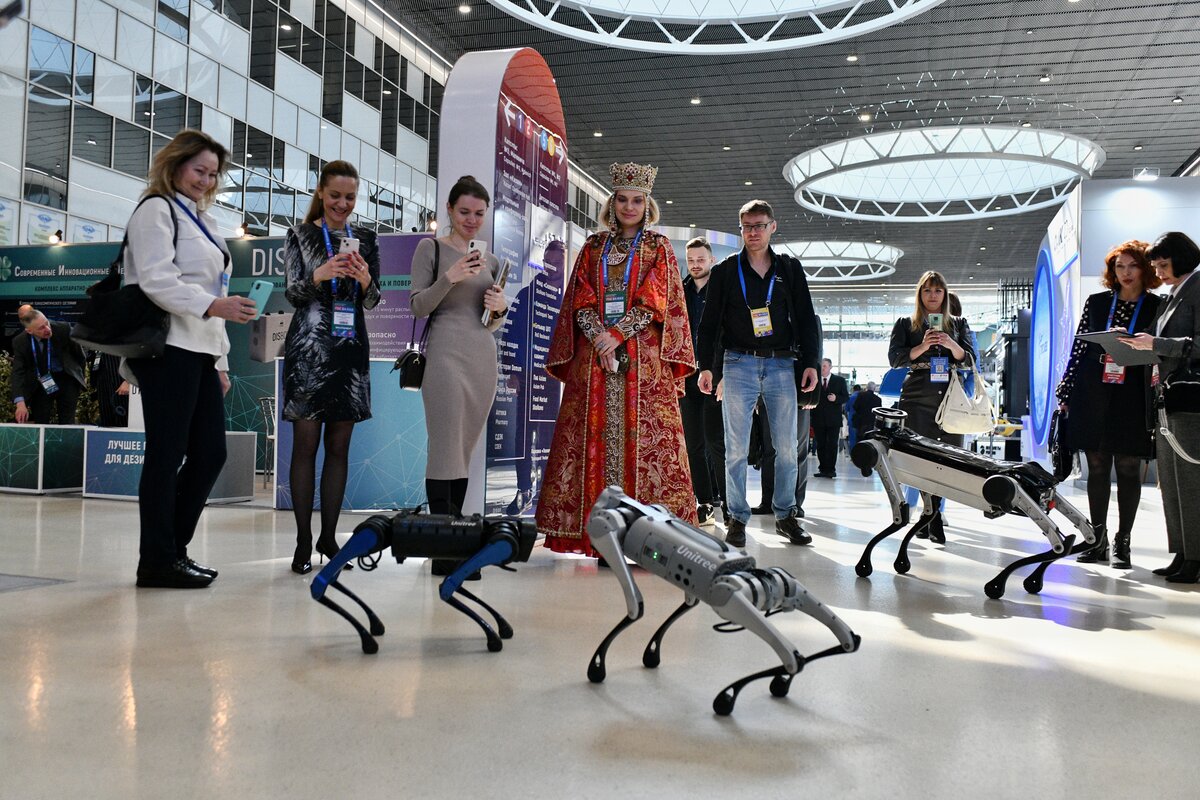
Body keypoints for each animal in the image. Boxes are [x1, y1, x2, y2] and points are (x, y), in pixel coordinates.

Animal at [309, 510, 535, 652]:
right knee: (322, 581)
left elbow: (454, 585)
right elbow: (447, 587)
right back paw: (368, 639)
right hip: (373, 534)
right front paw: (493, 638)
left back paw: (373, 626)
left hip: (374, 535)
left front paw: (502, 627)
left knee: (332, 576)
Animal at [854, 410, 1099, 597]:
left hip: (1007, 490)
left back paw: (1000, 583)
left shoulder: (880, 455)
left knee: (1059, 542)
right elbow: (925, 514)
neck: (892, 434)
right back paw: (1032, 578)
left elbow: (900, 517)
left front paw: (864, 564)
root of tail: (1044, 482)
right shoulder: (923, 480)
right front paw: (899, 562)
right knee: (1082, 536)